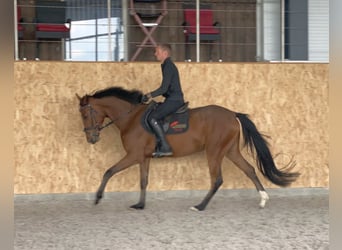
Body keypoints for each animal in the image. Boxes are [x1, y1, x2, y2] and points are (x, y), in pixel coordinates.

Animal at [77, 86, 300, 211]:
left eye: (86, 115)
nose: (91, 138)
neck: (131, 117)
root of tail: (232, 114)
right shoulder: (143, 157)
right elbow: (143, 181)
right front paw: (140, 205)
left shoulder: (133, 155)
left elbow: (109, 171)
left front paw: (97, 198)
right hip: (230, 151)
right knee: (249, 170)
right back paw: (262, 200)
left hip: (214, 151)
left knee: (217, 179)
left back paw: (200, 206)